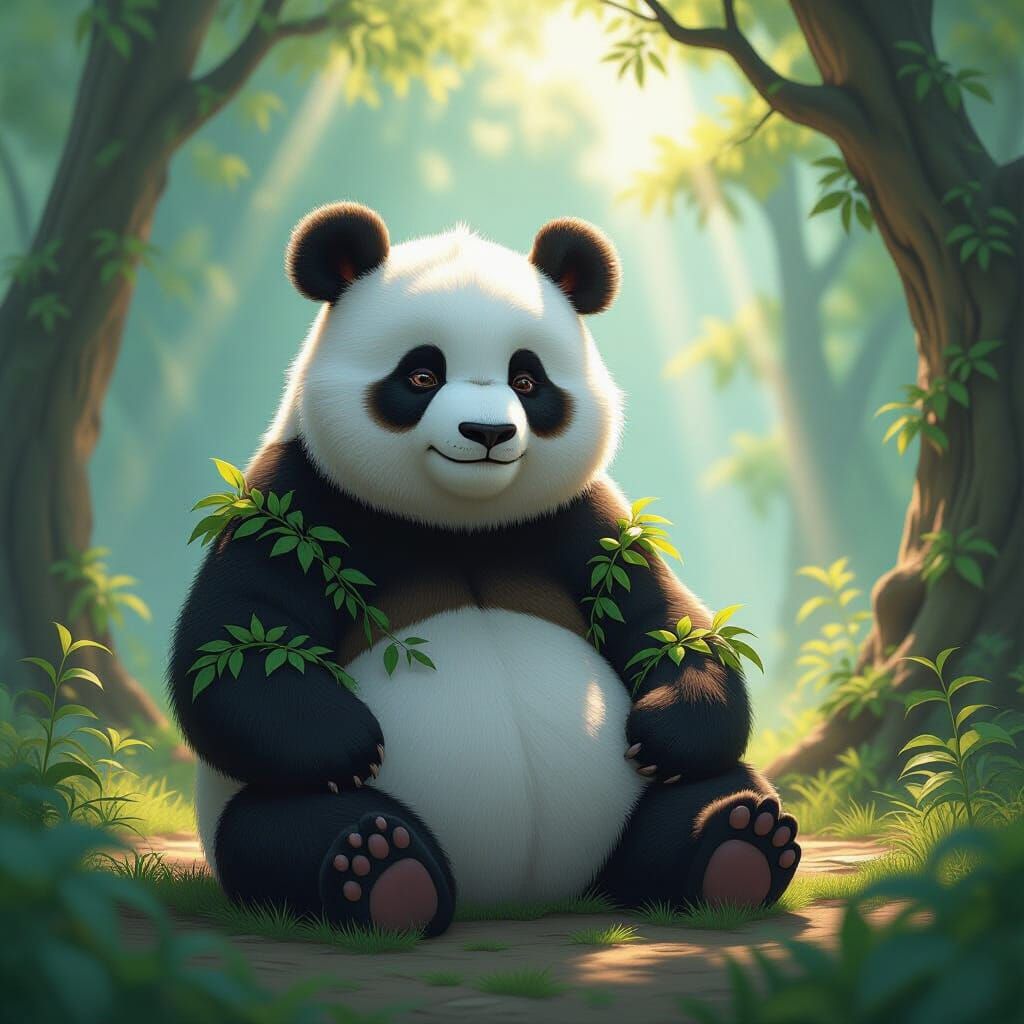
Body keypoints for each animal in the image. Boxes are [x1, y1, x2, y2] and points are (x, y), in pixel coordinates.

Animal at [170, 202, 801, 937]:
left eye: (526, 380)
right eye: (422, 375)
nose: (489, 433)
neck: (461, 522)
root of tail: (517, 896)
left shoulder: (583, 519)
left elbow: (667, 622)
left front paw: (665, 734)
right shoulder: (299, 504)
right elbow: (238, 644)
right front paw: (349, 743)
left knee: (711, 790)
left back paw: (739, 847)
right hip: (253, 813)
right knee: (279, 829)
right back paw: (380, 872)